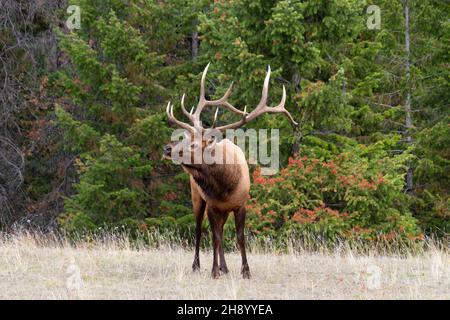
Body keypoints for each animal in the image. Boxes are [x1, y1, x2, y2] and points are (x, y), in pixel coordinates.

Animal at [163, 64, 298, 278]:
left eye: (193, 144)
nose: (167, 148)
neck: (224, 187)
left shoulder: (240, 204)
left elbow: (240, 237)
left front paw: (245, 271)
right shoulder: (212, 205)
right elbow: (215, 237)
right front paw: (214, 271)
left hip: (223, 209)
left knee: (219, 229)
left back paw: (225, 267)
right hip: (196, 197)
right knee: (199, 230)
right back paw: (198, 265)